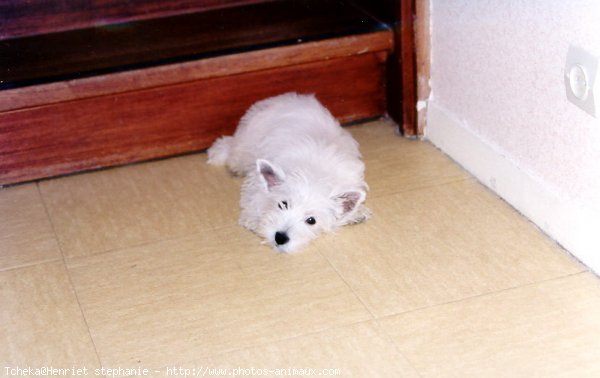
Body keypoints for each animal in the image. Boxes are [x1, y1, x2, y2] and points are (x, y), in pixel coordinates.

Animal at [207, 92, 370, 252]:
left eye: (311, 220)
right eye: (282, 204)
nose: (280, 237)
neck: (314, 173)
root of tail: (283, 98)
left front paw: (358, 213)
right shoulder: (257, 180)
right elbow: (254, 198)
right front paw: (252, 219)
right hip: (248, 143)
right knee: (233, 149)